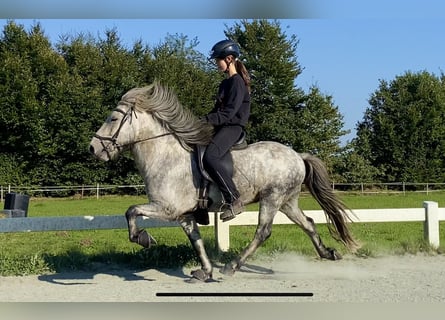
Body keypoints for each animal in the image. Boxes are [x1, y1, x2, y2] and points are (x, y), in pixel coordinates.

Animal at [89, 83, 358, 282]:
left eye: (113, 119)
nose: (93, 148)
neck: (165, 156)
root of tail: (298, 156)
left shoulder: (167, 208)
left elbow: (131, 211)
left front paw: (143, 238)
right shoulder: (184, 214)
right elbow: (196, 241)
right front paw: (205, 272)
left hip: (272, 199)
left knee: (263, 232)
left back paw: (232, 266)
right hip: (287, 201)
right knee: (308, 223)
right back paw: (328, 253)